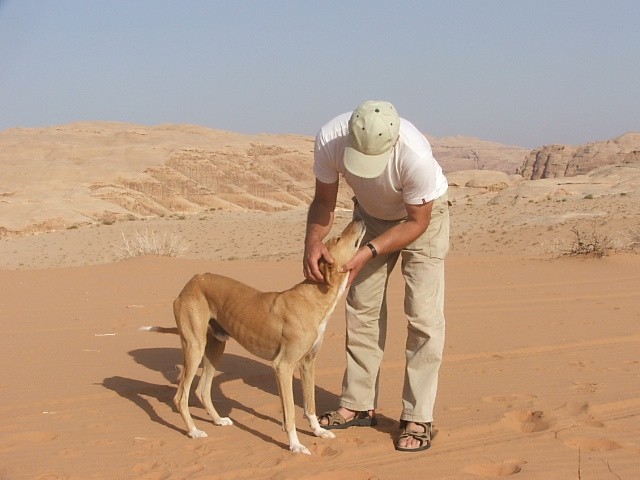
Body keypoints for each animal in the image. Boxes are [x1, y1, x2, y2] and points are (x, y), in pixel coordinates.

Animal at [145, 218, 364, 454]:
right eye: (338, 239)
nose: (359, 219)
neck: (313, 298)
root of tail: (190, 283)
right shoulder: (283, 366)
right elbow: (290, 412)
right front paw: (295, 445)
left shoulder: (307, 362)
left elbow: (309, 404)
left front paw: (319, 431)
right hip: (194, 347)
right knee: (180, 396)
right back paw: (194, 431)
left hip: (215, 348)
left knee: (202, 390)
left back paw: (218, 420)